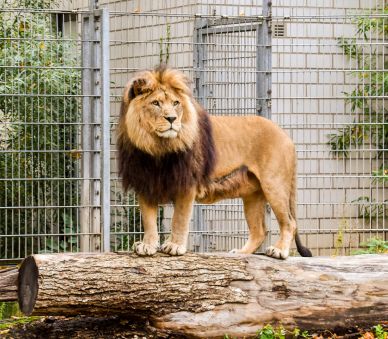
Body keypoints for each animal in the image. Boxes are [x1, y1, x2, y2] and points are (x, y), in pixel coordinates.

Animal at [117, 64, 312, 260]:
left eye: (176, 103)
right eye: (156, 103)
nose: (172, 119)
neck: (157, 147)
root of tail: (286, 135)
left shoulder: (187, 185)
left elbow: (179, 219)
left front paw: (175, 246)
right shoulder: (145, 183)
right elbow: (148, 220)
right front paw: (147, 246)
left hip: (274, 185)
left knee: (289, 222)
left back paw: (279, 250)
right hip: (253, 194)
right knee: (259, 231)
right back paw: (240, 253)